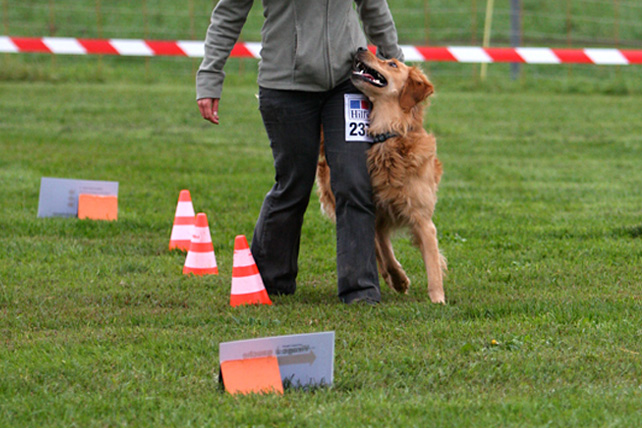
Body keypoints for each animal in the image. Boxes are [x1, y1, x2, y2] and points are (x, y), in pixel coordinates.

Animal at [316, 49, 444, 304]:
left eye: (392, 64)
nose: (360, 49)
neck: (388, 136)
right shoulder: (374, 213)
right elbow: (383, 249)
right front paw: (398, 279)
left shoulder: (423, 218)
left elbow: (433, 263)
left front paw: (438, 299)